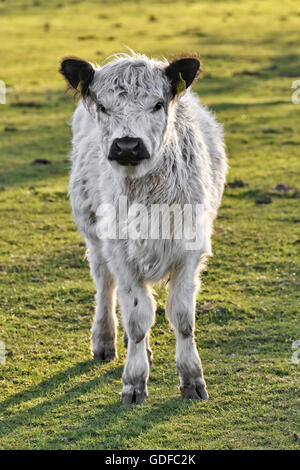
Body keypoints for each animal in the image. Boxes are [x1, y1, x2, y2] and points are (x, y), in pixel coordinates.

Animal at [59, 52, 226, 404]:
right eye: (103, 106)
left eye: (158, 104)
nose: (126, 145)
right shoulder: (122, 255)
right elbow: (137, 319)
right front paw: (134, 382)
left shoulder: (188, 253)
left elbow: (182, 318)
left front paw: (192, 378)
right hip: (93, 234)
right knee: (105, 286)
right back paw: (105, 341)